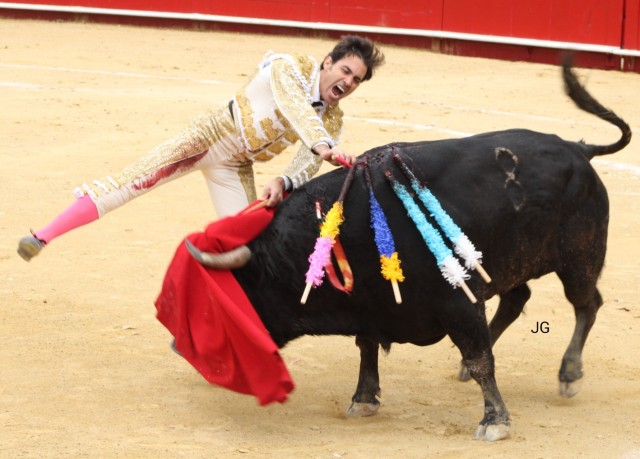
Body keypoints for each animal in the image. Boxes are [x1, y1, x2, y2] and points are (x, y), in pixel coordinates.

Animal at [183, 58, 631, 441]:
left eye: (239, 292)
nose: (191, 352)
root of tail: (578, 148)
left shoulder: (459, 300)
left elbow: (481, 358)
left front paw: (495, 422)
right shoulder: (370, 305)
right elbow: (367, 347)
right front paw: (364, 399)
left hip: (580, 257)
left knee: (586, 304)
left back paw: (569, 374)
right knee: (518, 297)